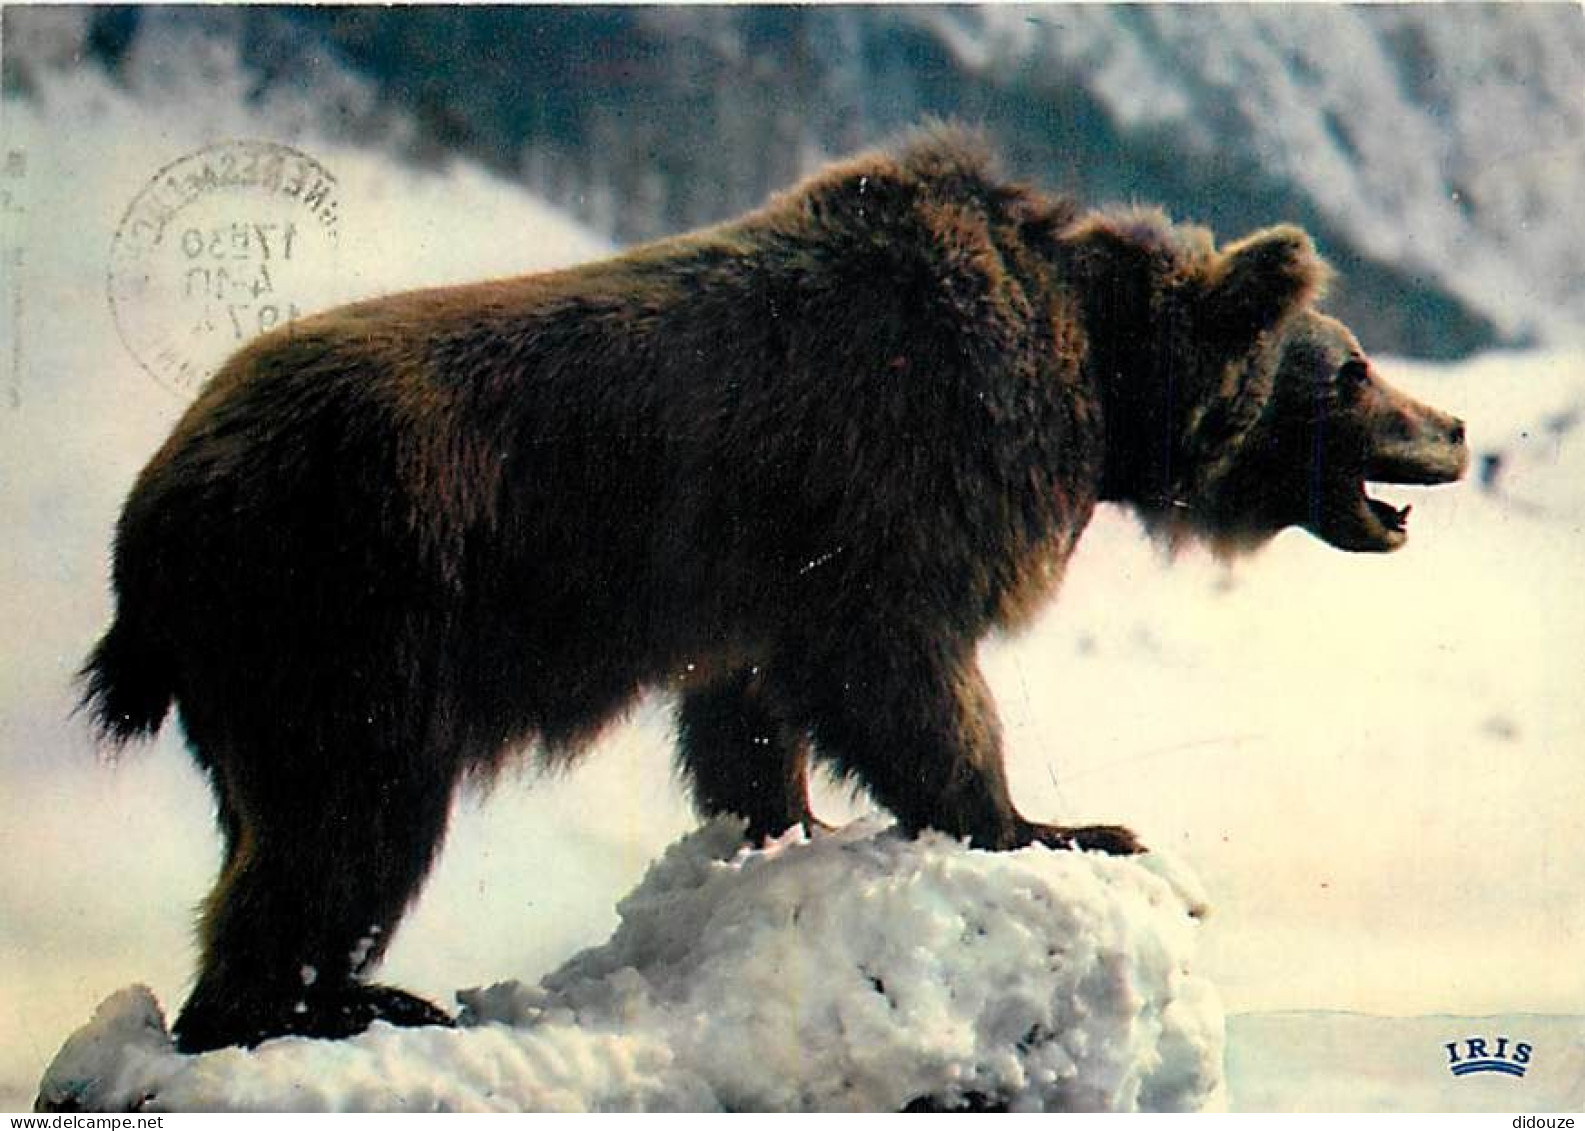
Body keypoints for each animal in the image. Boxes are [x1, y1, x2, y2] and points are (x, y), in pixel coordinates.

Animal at [80, 127, 1464, 1051]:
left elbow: (750, 714)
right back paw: (330, 1002)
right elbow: (908, 676)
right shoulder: (907, 476)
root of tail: (150, 515)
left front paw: (786, 820)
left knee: (291, 827)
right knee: (350, 819)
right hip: (351, 599)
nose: (1448, 429)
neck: (1103, 387)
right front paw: (1058, 824)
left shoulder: (760, 578)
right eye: (1352, 368)